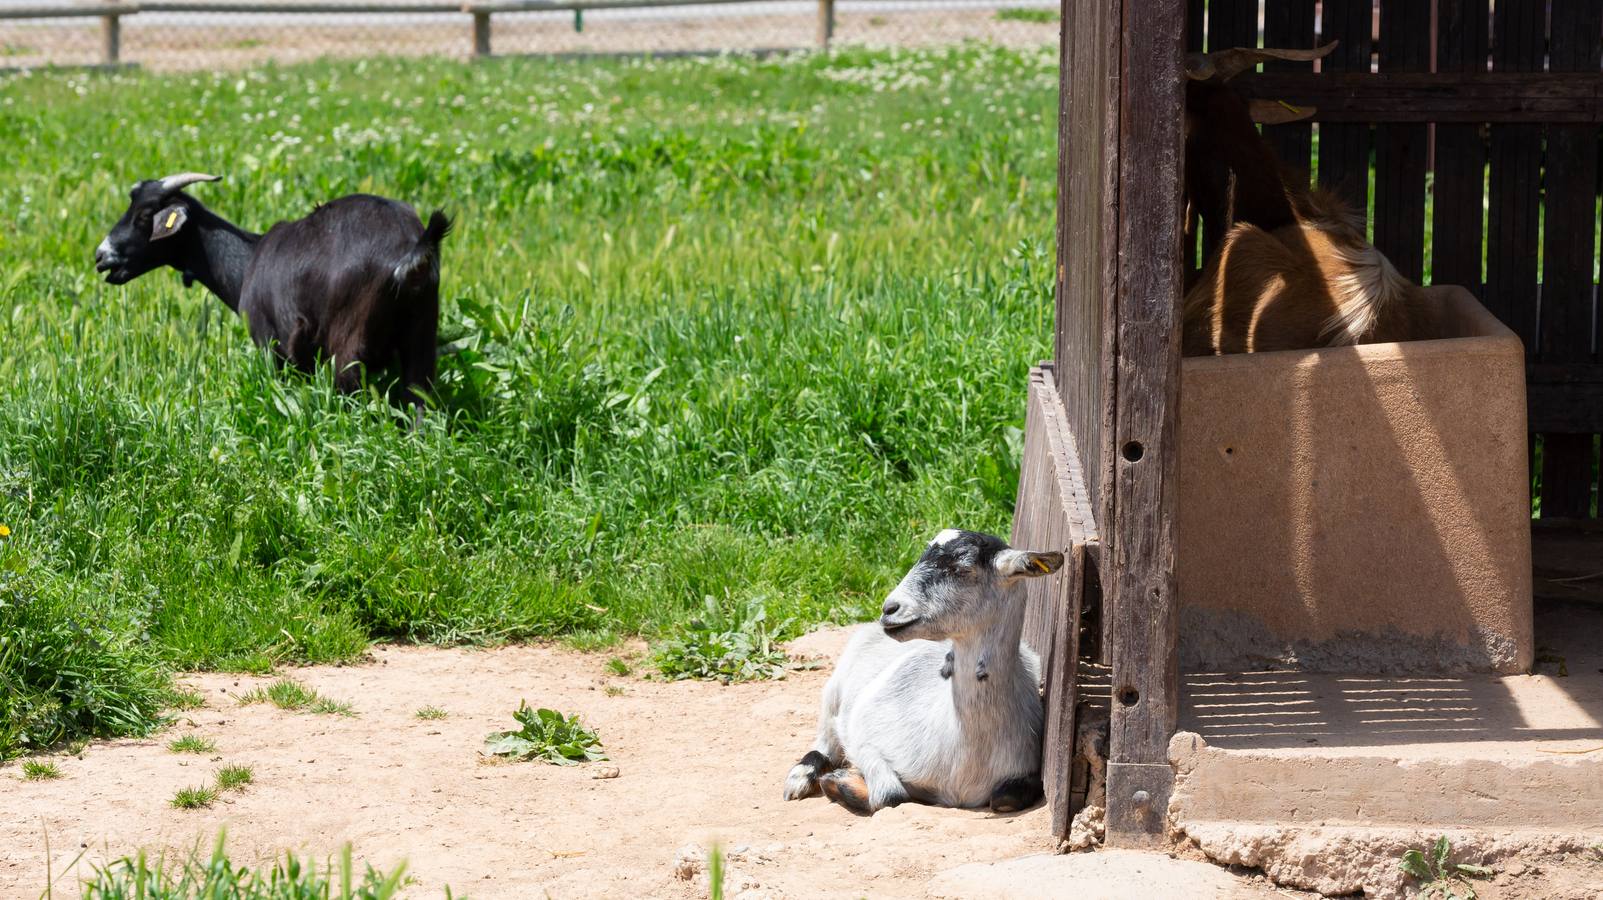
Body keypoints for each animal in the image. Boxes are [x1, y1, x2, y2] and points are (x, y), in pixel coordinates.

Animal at [96, 174, 448, 405]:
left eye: (144, 215)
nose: (101, 256)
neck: (247, 262)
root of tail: (411, 248)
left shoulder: (271, 345)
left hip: (349, 343)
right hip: (422, 333)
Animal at [779, 526, 1057, 814]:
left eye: (961, 569)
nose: (889, 609)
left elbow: (1005, 798)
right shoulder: (862, 731)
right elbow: (891, 795)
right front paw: (836, 781)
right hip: (834, 693)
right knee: (824, 741)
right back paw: (799, 779)